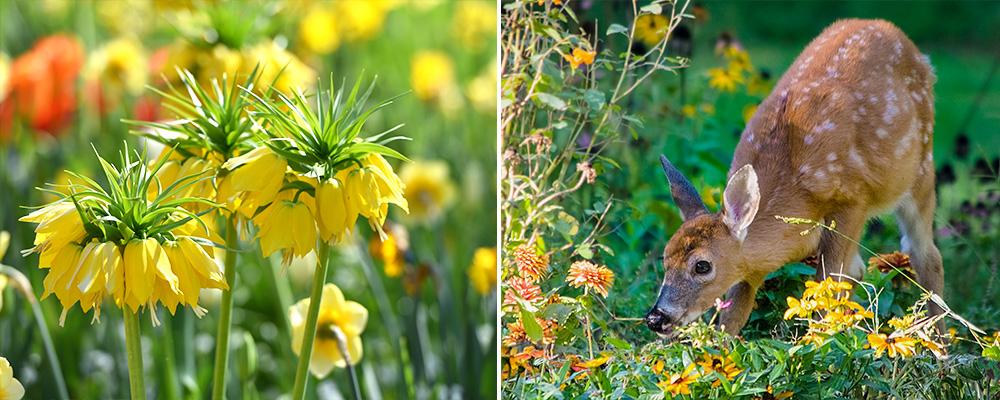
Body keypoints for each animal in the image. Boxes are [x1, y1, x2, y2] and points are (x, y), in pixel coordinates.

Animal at [645, 19, 943, 337]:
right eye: (665, 258)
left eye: (702, 265)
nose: (656, 318)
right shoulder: (749, 265)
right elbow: (735, 312)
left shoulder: (852, 199)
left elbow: (827, 282)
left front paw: (820, 341)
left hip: (921, 170)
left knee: (925, 255)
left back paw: (940, 339)